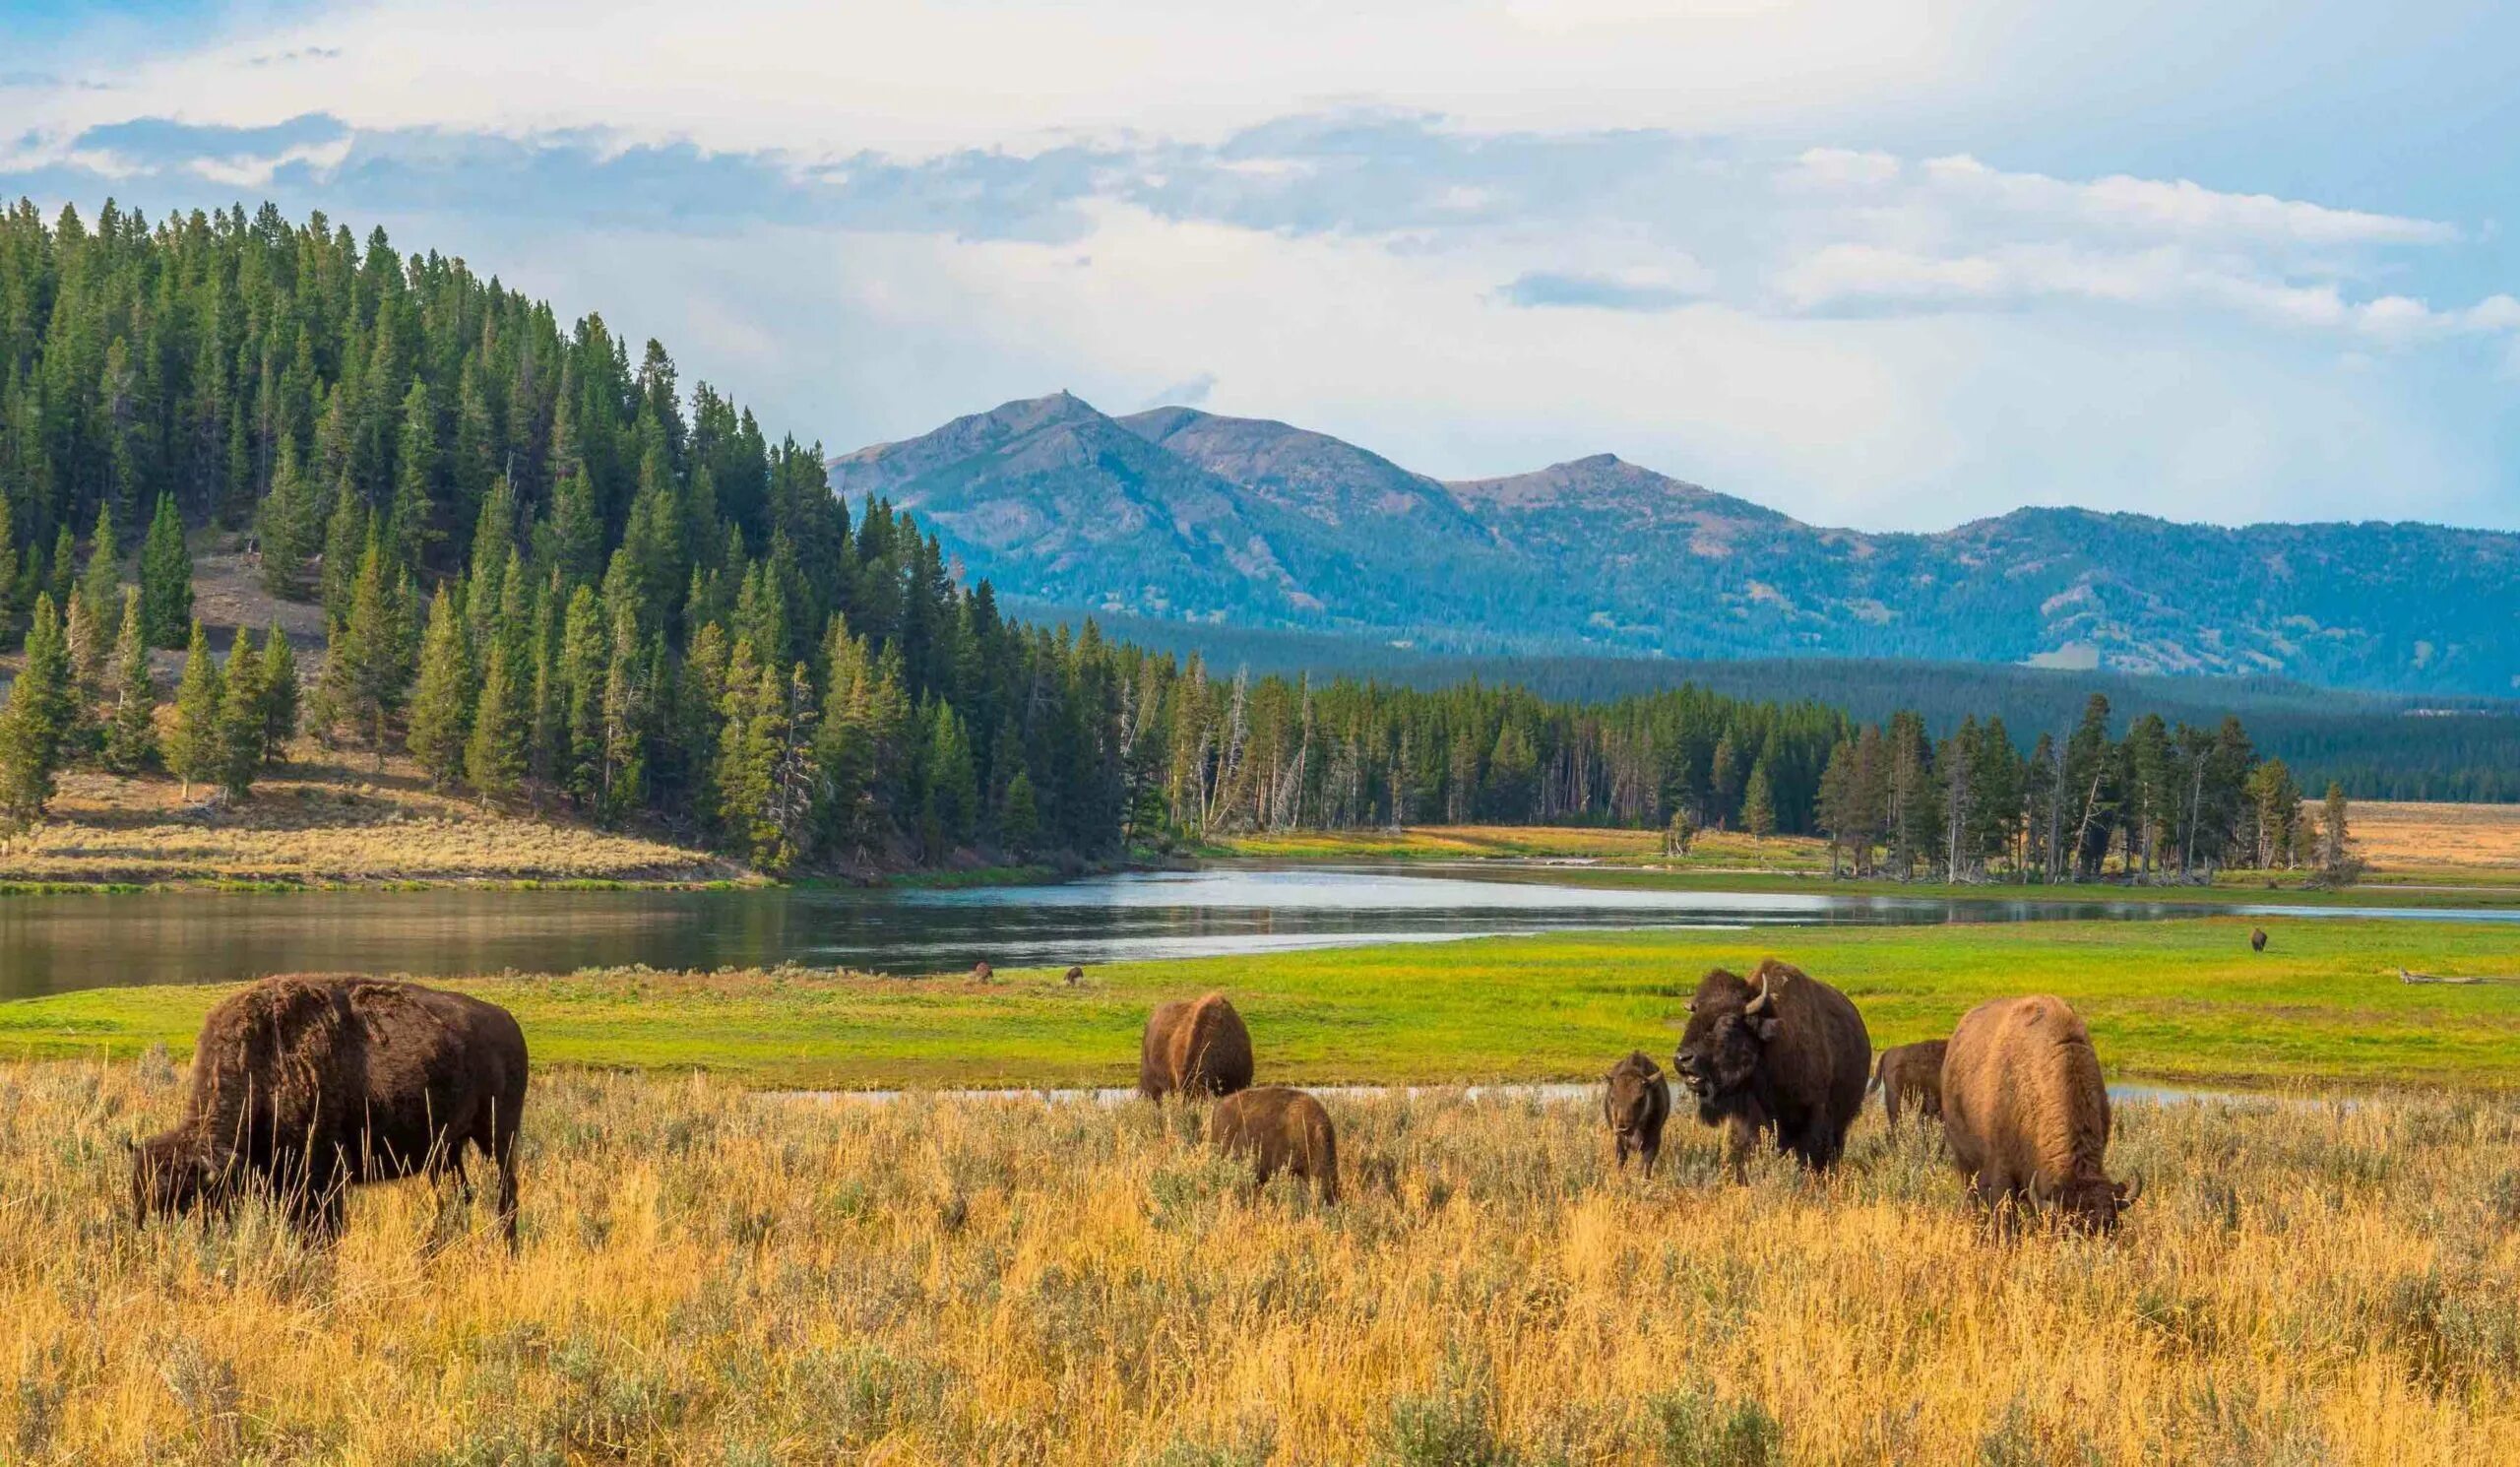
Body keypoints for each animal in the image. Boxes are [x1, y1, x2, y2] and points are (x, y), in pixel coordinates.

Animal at [131, 978, 527, 1254]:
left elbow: (322, 1230)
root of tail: (508, 1021)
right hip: (446, 1151)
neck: (264, 1066)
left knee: (504, 1195)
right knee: (456, 1197)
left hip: (497, 1138)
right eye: (137, 1196)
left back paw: (505, 1250)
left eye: (186, 1201)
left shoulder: (324, 1176)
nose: (152, 1242)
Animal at [1592, 1053, 1672, 1180]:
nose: (1623, 1127)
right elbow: (1621, 1160)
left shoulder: (1654, 1139)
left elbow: (1646, 1163)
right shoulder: (1620, 1140)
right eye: (1612, 1098)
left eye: (1641, 1098)